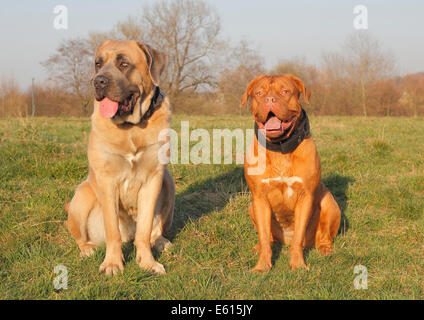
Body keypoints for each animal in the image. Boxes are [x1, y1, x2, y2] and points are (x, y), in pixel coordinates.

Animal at [64, 40, 174, 276]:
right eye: (98, 64)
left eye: (124, 64)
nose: (99, 81)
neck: (131, 128)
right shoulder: (107, 180)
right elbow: (112, 229)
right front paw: (113, 264)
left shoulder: (154, 178)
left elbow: (144, 229)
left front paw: (148, 263)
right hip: (82, 196)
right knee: (81, 236)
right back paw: (87, 249)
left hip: (168, 182)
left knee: (152, 231)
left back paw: (161, 241)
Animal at [242, 74, 342, 272]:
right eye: (259, 93)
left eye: (285, 91)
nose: (270, 99)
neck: (280, 147)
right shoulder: (259, 197)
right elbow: (263, 236)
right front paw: (262, 267)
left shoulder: (305, 196)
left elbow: (298, 239)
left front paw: (298, 265)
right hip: (252, 206)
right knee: (268, 238)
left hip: (330, 204)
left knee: (323, 236)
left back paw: (325, 249)